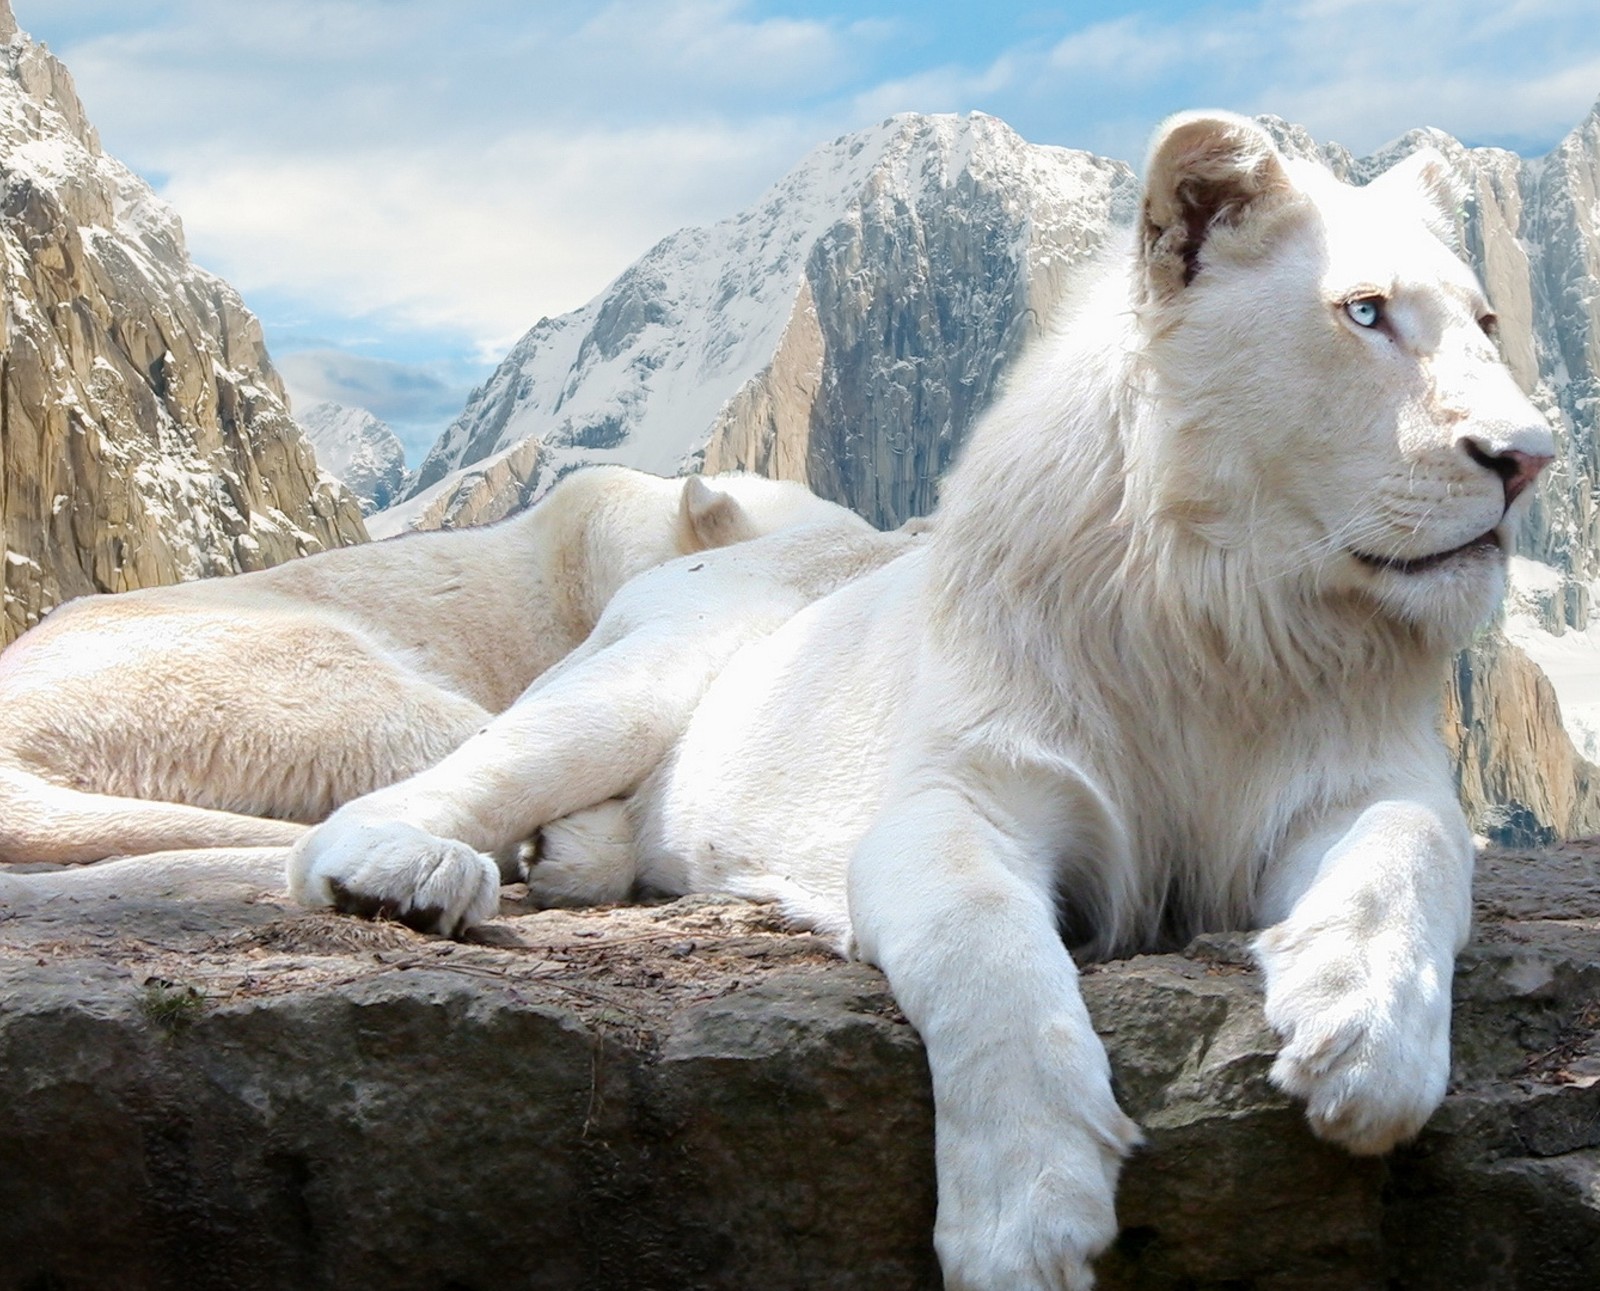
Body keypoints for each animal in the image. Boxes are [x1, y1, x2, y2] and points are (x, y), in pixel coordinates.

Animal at [284, 113, 1548, 1291]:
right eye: (1366, 313)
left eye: (1487, 323)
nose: (1528, 456)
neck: (1225, 613)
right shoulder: (960, 798)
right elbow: (987, 954)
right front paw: (1028, 1216)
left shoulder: (1362, 781)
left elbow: (1408, 853)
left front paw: (1363, 1040)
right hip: (632, 685)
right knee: (399, 803)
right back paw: (407, 872)